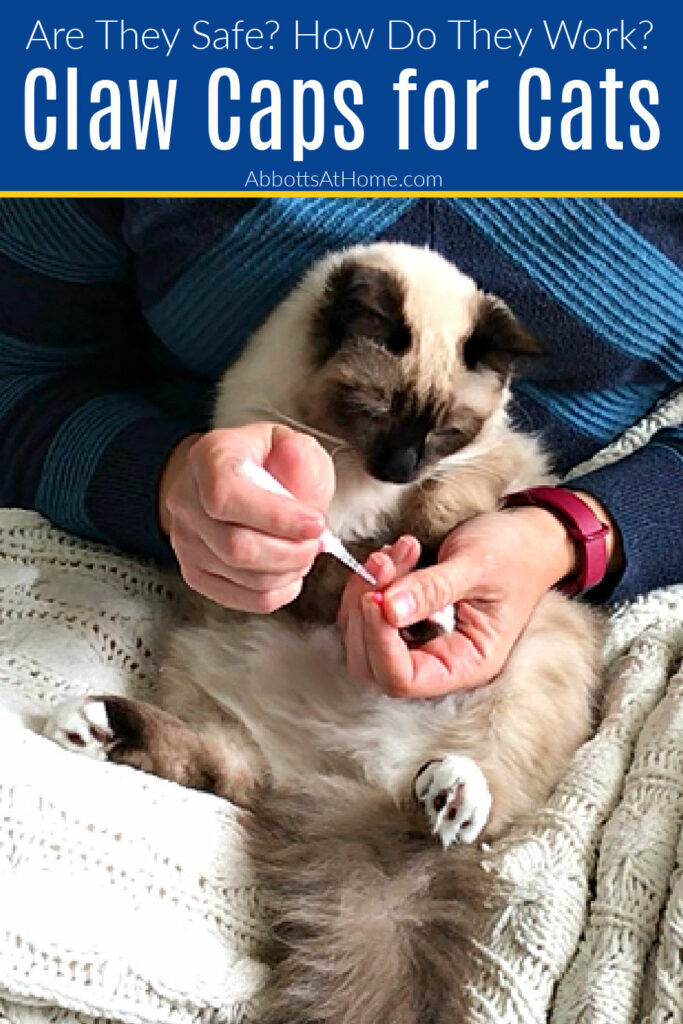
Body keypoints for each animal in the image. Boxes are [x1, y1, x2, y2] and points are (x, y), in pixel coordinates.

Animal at [45, 241, 602, 1024]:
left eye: (443, 431)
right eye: (375, 411)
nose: (399, 465)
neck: (358, 484)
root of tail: (354, 774)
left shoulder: (482, 473)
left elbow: (439, 522)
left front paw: (413, 601)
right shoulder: (291, 537)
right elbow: (333, 572)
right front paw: (384, 591)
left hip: (531, 665)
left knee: (475, 804)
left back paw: (451, 791)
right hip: (207, 679)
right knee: (223, 772)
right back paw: (92, 724)